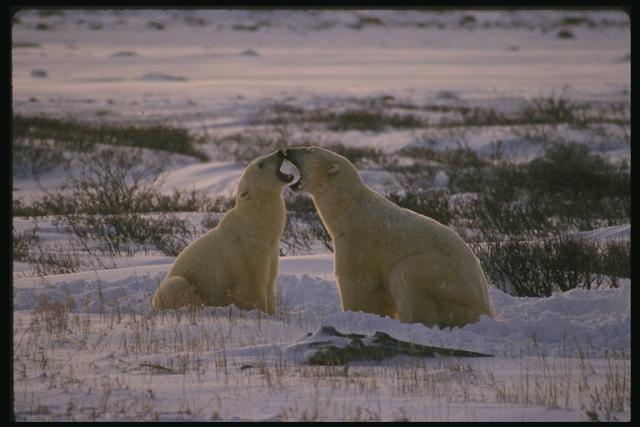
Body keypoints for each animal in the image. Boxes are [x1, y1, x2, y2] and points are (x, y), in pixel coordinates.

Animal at [152, 150, 296, 314]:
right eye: (261, 164)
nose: (280, 152)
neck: (258, 228)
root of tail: (153, 303)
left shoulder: (270, 250)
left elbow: (270, 281)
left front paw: (272, 310)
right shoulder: (247, 251)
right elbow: (252, 285)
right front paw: (259, 311)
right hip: (177, 283)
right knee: (177, 285)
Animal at [284, 145, 496, 330]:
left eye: (309, 150)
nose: (287, 150)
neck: (349, 210)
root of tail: (484, 309)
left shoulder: (358, 242)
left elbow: (358, 283)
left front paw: (358, 315)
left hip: (442, 277)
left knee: (405, 276)